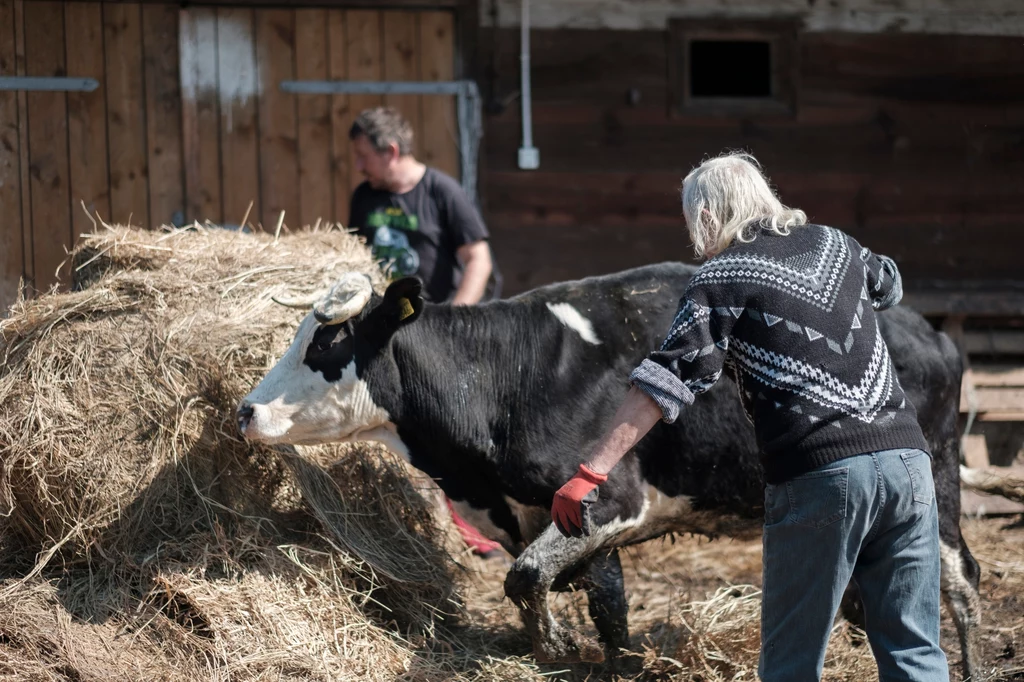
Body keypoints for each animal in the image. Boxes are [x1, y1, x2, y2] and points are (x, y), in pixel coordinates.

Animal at [237, 262, 983, 675]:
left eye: (325, 343)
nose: (246, 410)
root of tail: (928, 331)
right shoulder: (571, 520)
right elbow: (610, 610)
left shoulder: (612, 500)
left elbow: (525, 577)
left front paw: (556, 647)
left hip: (936, 489)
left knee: (962, 582)